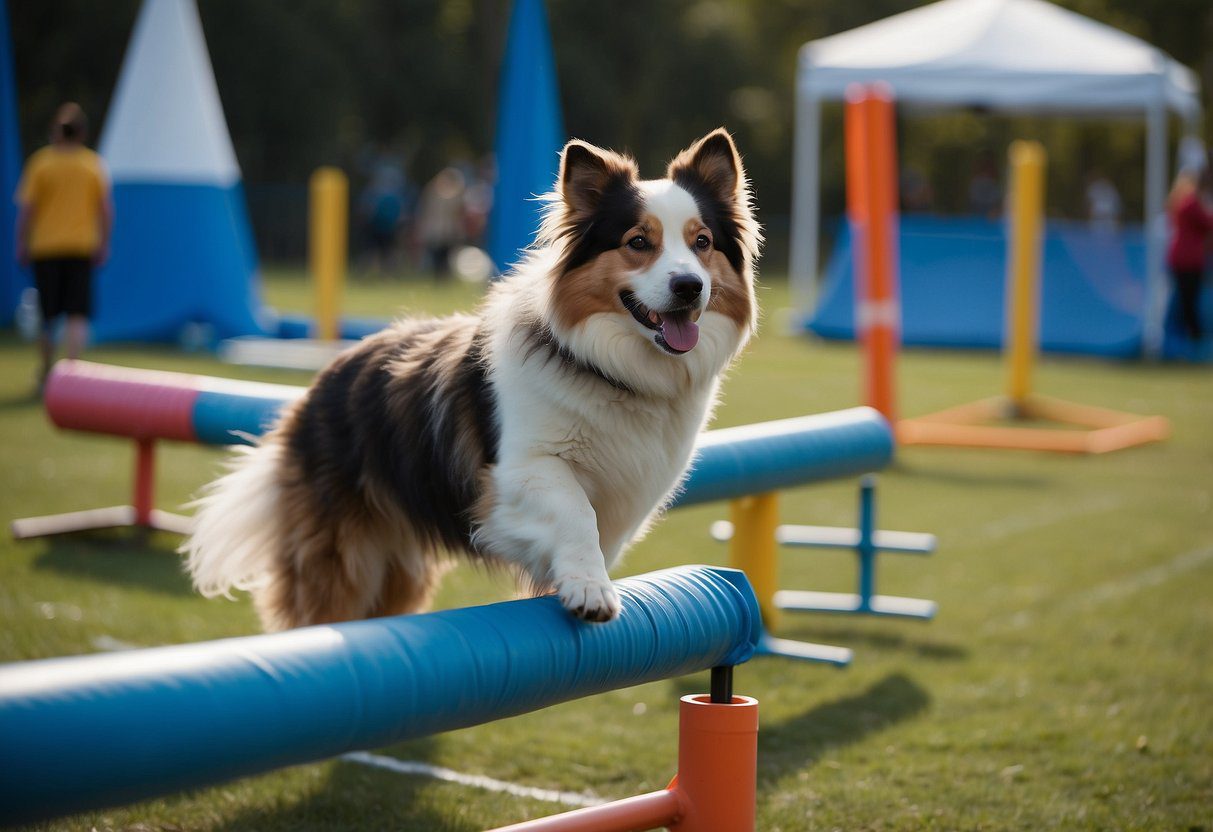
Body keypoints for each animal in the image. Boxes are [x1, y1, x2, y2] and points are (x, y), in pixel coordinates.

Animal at [181, 127, 756, 630]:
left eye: (702, 242)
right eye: (639, 242)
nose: (689, 287)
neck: (612, 369)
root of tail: (323, 381)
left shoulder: (630, 494)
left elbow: (598, 532)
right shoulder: (515, 474)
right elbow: (575, 512)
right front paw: (590, 590)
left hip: (398, 571)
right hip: (345, 561)